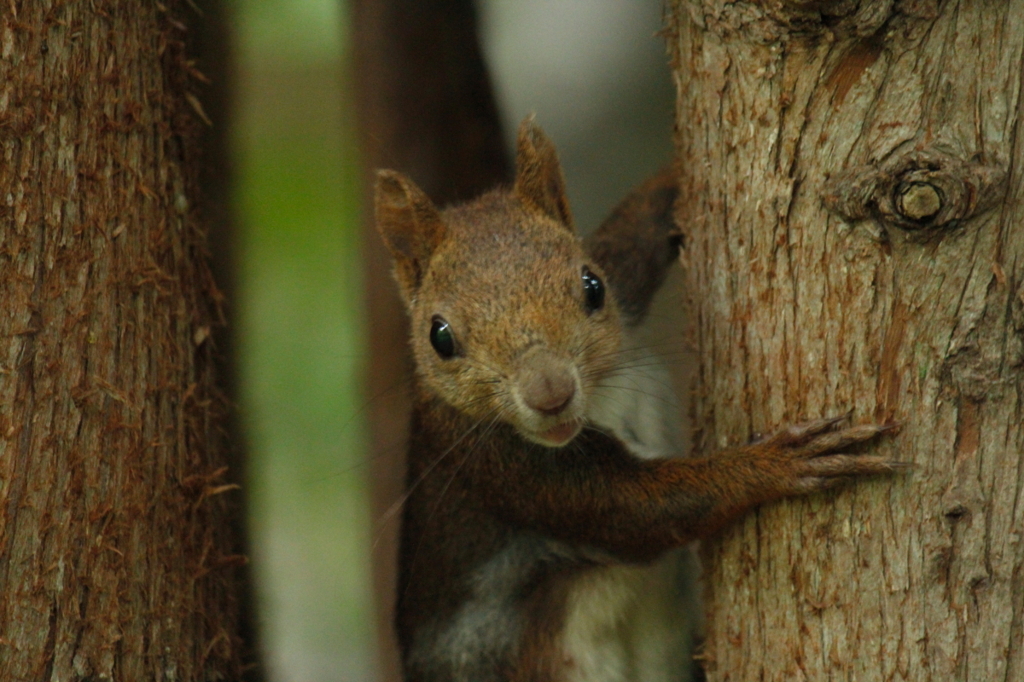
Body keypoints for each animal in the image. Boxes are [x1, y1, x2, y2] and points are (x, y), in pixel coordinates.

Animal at [376, 118, 905, 679]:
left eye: (592, 285)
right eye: (439, 337)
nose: (550, 393)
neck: (599, 402)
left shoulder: (622, 268)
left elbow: (644, 217)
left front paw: (672, 175)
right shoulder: (503, 466)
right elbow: (640, 510)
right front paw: (775, 463)